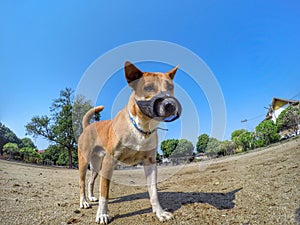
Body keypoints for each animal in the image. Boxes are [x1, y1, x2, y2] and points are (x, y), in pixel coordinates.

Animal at [77, 60, 182, 223]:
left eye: (170, 87)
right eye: (148, 88)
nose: (170, 104)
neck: (140, 127)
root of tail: (88, 126)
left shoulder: (150, 163)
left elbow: (153, 191)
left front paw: (159, 212)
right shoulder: (109, 162)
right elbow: (104, 193)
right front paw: (102, 214)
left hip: (96, 165)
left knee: (90, 181)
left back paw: (92, 197)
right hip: (84, 161)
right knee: (82, 182)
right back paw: (84, 202)